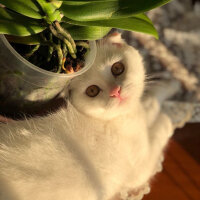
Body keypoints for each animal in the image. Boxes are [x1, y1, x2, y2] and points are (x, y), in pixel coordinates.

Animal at [0, 33, 173, 200]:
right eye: (92, 91)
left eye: (117, 68)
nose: (115, 91)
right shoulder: (141, 167)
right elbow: (157, 133)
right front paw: (168, 118)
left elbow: (150, 103)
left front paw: (169, 85)